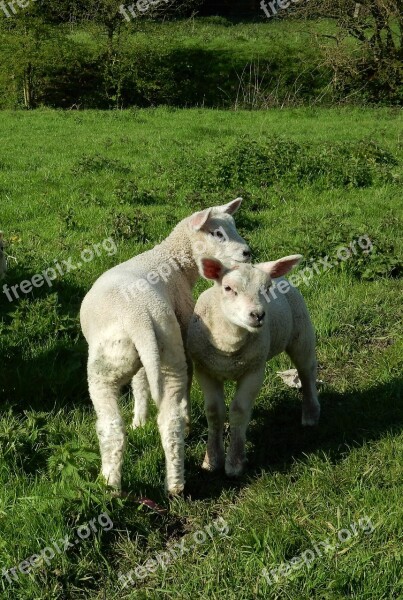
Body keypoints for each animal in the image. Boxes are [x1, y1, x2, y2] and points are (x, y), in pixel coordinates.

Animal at [79, 199, 251, 494]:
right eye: (217, 233)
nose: (247, 253)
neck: (173, 261)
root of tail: (138, 317)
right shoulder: (154, 352)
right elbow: (140, 383)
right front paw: (140, 420)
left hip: (109, 366)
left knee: (112, 427)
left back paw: (110, 484)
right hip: (165, 348)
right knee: (169, 419)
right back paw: (175, 484)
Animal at [187, 254, 322, 478]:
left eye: (266, 288)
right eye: (228, 288)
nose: (258, 315)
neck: (229, 345)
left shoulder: (254, 371)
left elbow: (239, 411)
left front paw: (234, 462)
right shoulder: (205, 370)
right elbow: (214, 412)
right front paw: (212, 460)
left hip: (301, 332)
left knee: (306, 371)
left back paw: (311, 414)